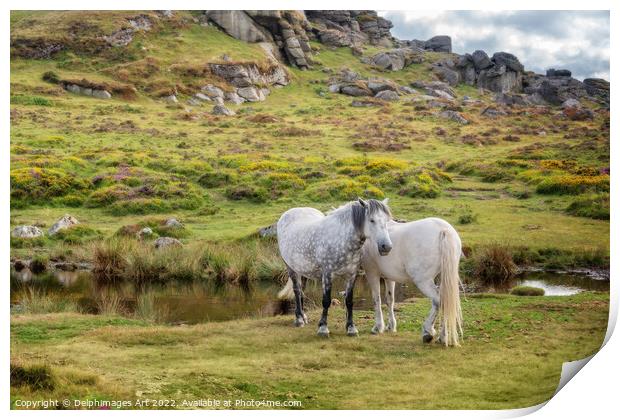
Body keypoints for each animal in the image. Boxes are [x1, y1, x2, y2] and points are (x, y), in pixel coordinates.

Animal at [278, 199, 392, 338]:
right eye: (372, 220)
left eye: (386, 220)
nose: (386, 246)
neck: (341, 239)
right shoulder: (327, 275)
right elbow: (326, 301)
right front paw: (323, 328)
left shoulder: (351, 275)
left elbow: (349, 301)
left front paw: (351, 328)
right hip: (291, 268)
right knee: (297, 290)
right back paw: (299, 319)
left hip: (303, 269)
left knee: (301, 290)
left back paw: (304, 317)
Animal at [360, 218, 462, 346]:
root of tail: (443, 230)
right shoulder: (389, 277)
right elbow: (390, 300)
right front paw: (391, 326)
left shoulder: (372, 273)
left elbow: (376, 299)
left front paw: (378, 327)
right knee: (446, 301)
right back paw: (442, 337)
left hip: (423, 281)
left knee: (438, 301)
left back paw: (428, 332)